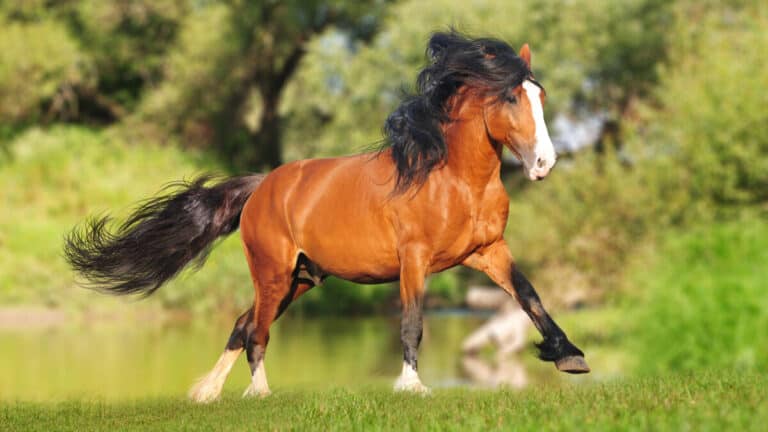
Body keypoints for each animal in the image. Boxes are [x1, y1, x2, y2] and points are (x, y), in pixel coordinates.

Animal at [64, 31, 589, 403]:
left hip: (300, 279)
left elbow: (529, 296)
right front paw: (412, 387)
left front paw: (570, 357)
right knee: (256, 330)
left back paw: (207, 393)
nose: (545, 163)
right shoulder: (414, 259)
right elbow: (412, 322)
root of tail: (262, 186)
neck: (453, 179)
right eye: (510, 97)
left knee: (243, 323)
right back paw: (257, 393)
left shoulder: (487, 251)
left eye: (540, 96)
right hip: (273, 273)